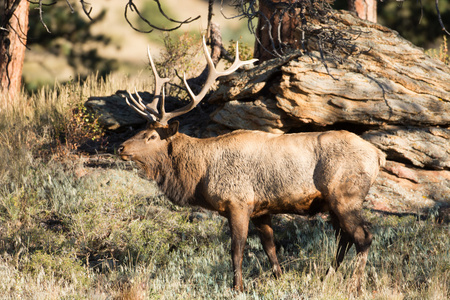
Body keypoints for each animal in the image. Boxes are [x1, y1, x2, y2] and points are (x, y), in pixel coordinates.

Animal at [118, 36, 384, 292]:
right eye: (142, 129)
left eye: (152, 136)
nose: (121, 148)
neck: (201, 175)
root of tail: (377, 155)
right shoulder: (261, 210)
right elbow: (270, 247)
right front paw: (278, 278)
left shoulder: (238, 202)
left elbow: (237, 250)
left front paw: (237, 287)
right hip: (332, 203)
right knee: (344, 238)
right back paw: (326, 278)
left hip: (346, 195)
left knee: (364, 237)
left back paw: (355, 286)